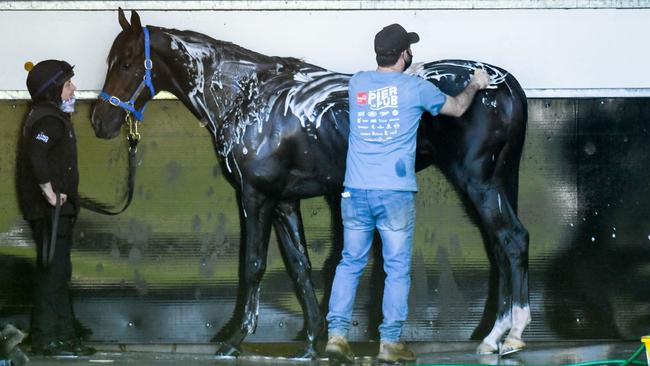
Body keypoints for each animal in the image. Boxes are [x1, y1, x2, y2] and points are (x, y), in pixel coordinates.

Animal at [90, 9, 528, 360]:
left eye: (126, 63)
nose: (99, 122)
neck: (248, 99)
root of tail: (503, 82)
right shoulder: (285, 202)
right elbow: (300, 267)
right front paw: (314, 342)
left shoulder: (256, 197)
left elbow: (253, 265)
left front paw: (233, 341)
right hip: (495, 184)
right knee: (500, 247)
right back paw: (493, 337)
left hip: (479, 183)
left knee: (512, 240)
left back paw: (510, 335)